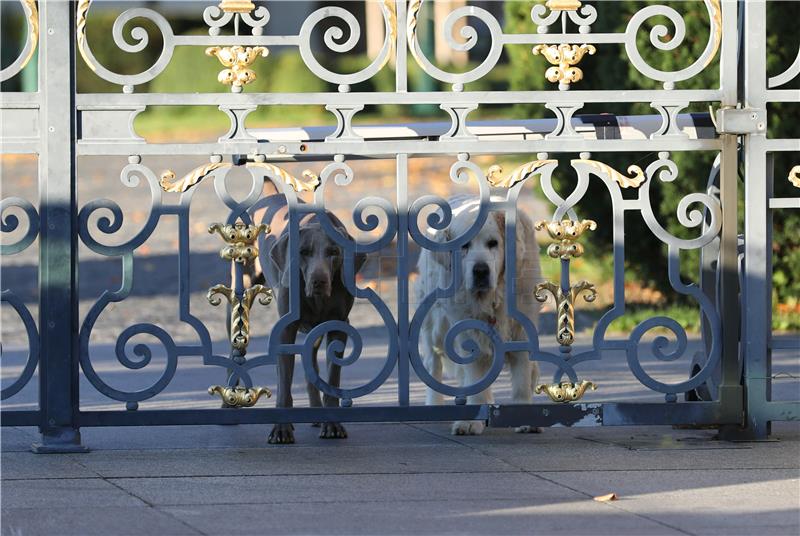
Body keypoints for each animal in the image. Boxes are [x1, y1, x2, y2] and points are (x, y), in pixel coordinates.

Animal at [247, 193, 366, 444]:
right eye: (303, 252)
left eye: (334, 252)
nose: (319, 282)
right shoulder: (286, 329)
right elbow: (284, 384)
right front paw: (281, 429)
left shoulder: (338, 326)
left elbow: (332, 379)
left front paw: (332, 424)